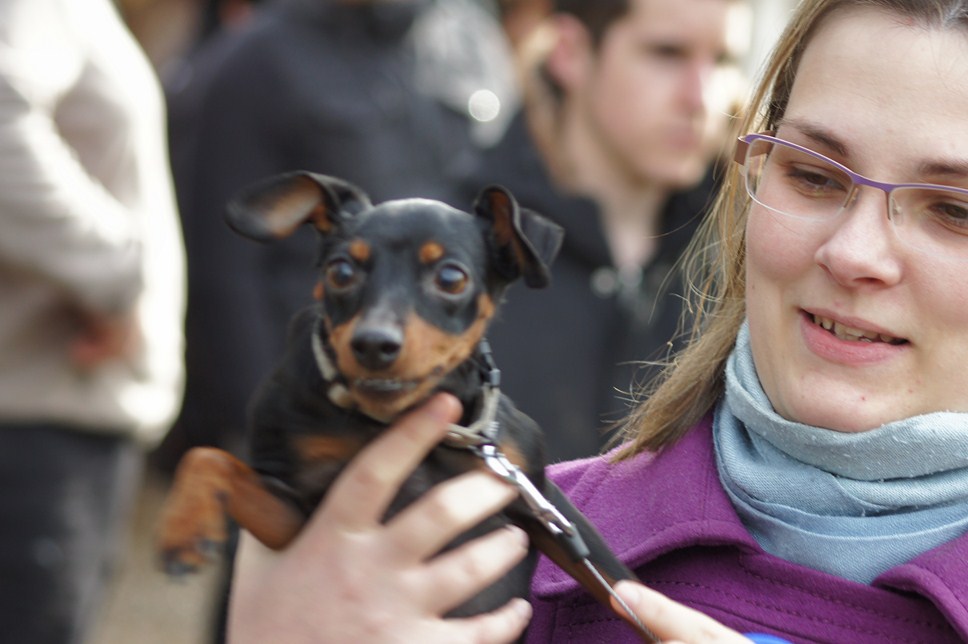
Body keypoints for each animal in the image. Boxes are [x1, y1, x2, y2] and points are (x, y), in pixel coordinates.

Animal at [159, 174, 652, 636]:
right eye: (340, 272)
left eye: (451, 278)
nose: (373, 344)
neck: (395, 419)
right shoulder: (297, 519)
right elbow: (207, 457)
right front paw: (185, 530)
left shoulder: (542, 497)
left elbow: (620, 586)